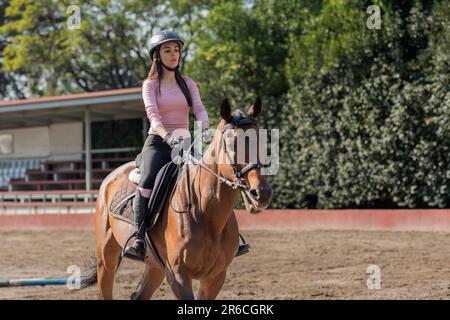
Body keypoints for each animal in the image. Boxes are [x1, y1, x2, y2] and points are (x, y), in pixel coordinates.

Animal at [79, 98, 272, 300]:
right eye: (233, 144)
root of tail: (111, 177)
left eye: (262, 142)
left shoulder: (215, 277)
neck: (205, 213)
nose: (261, 194)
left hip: (155, 266)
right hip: (106, 259)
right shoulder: (179, 276)